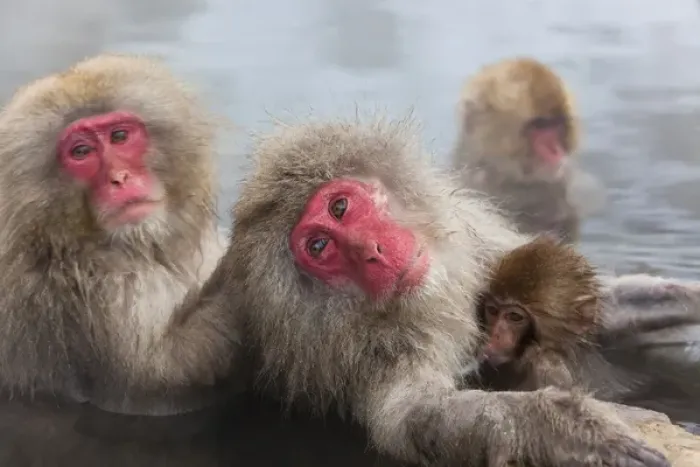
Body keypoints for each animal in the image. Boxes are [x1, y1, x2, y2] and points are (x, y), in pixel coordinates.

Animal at [220, 116, 669, 466]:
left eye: (340, 207)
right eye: (319, 247)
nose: (371, 252)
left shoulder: (477, 244)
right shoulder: (370, 356)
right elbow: (423, 418)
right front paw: (563, 427)